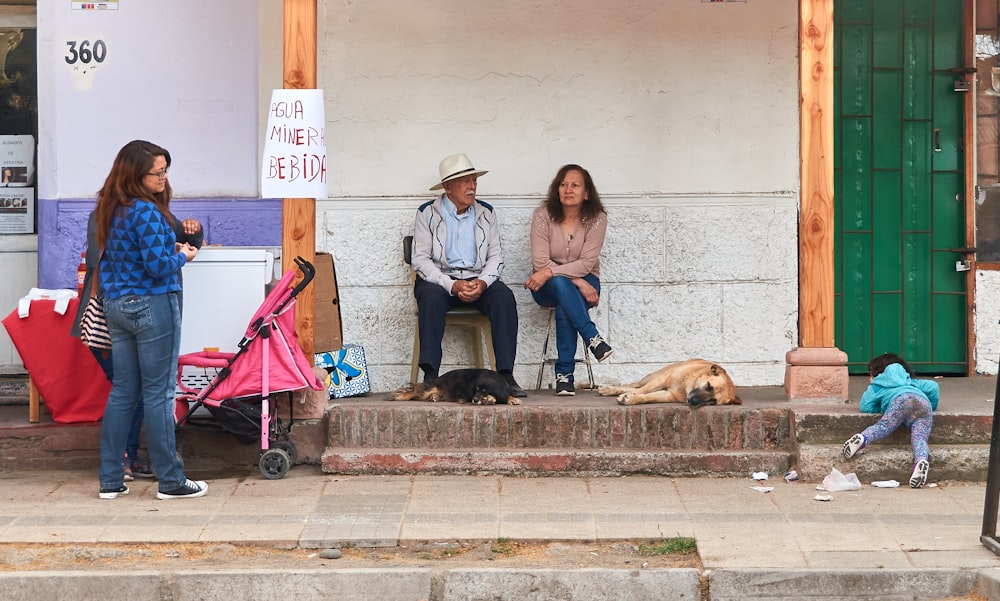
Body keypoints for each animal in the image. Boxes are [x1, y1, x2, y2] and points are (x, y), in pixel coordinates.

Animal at [386, 368, 520, 406]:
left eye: (484, 391)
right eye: (476, 390)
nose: (475, 400)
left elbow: (506, 396)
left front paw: (512, 398)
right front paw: (490, 399)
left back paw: (434, 397)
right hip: (431, 387)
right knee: (415, 392)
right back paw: (400, 397)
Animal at [596, 356, 740, 408]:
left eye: (713, 401)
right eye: (708, 385)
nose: (692, 401)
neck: (686, 385)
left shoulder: (668, 394)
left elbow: (647, 397)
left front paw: (632, 399)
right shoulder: (662, 379)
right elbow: (642, 390)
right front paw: (628, 397)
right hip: (653, 376)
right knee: (635, 385)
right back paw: (609, 389)